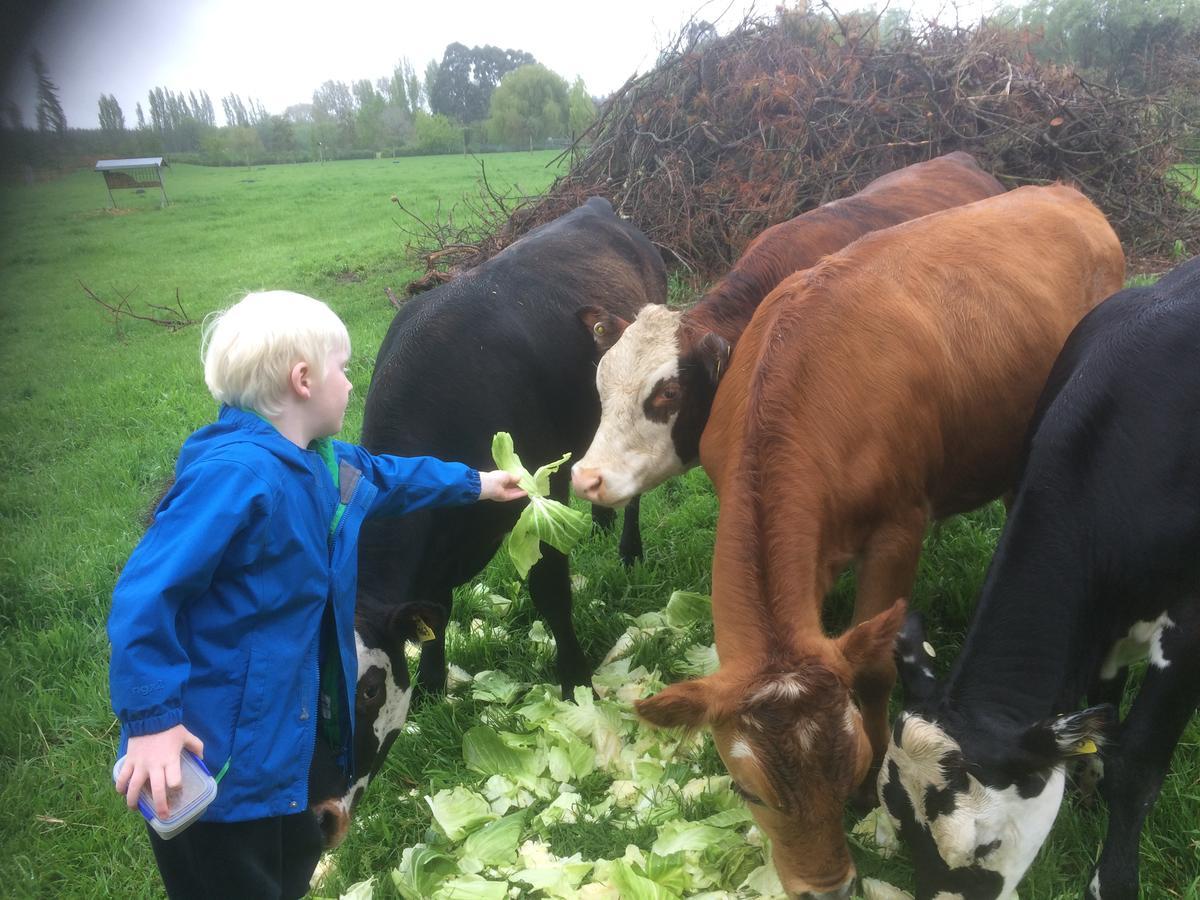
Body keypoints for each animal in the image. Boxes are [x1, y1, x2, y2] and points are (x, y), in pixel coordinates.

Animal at [304, 195, 672, 844]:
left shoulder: (538, 491)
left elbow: (551, 591)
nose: (319, 817)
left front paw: (575, 680)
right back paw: (601, 521)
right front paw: (431, 687)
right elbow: (435, 610)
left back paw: (626, 546)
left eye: (369, 689)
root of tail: (600, 206)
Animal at [638, 184, 1123, 900]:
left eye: (848, 771)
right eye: (746, 791)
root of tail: (1060, 190)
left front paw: (872, 794)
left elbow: (872, 667)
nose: (827, 888)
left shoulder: (900, 528)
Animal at [878, 254, 1200, 900]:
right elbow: (1104, 725)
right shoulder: (1099, 629)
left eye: (983, 847)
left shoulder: (1190, 626)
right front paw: (1086, 792)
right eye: (900, 825)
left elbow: (1137, 767)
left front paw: (1112, 878)